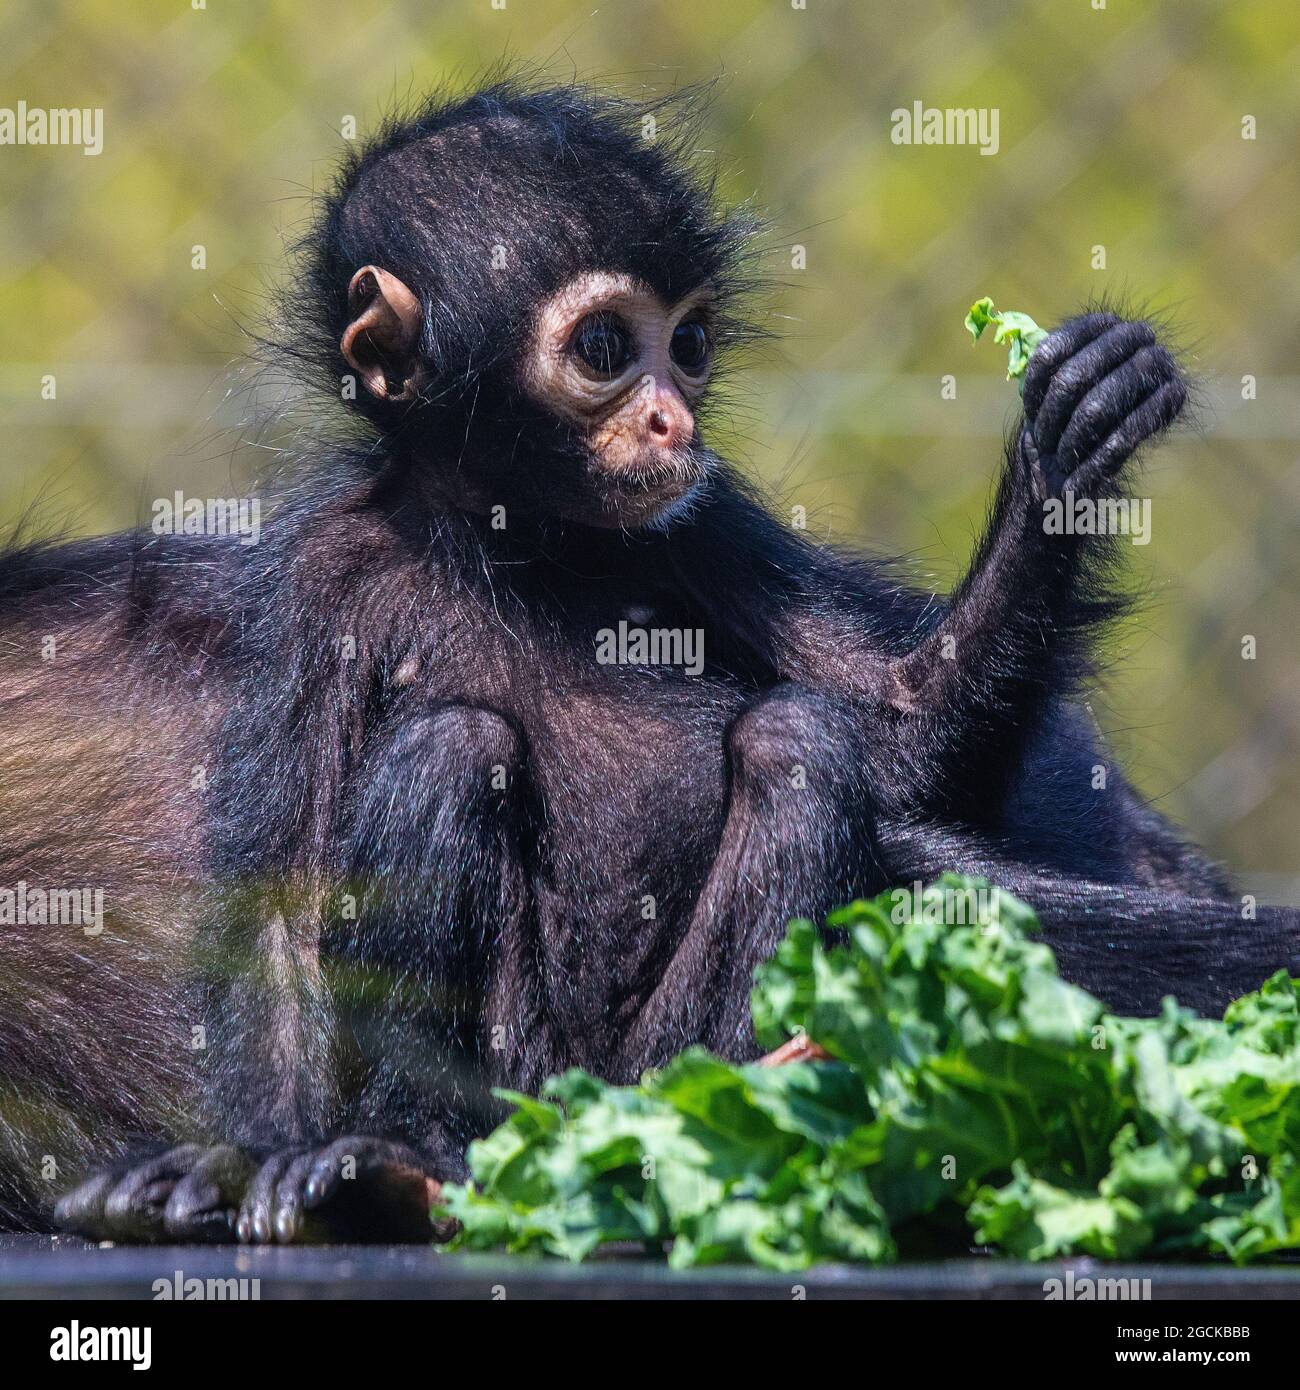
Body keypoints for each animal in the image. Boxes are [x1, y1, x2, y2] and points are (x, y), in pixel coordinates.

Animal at [0, 81, 1290, 1245]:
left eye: (695, 343)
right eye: (607, 347)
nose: (675, 419)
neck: (519, 538)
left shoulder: (699, 514)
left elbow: (904, 741)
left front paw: (1065, 454)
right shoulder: (320, 576)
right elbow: (275, 906)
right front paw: (236, 1161)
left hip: (665, 1041)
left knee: (793, 743)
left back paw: (749, 1102)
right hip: (513, 1067)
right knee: (453, 746)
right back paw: (397, 1159)